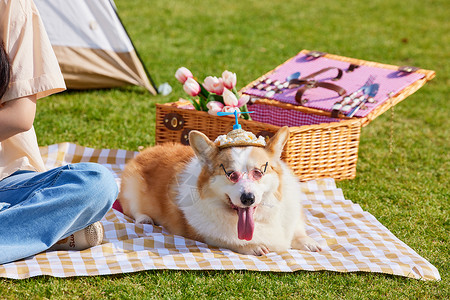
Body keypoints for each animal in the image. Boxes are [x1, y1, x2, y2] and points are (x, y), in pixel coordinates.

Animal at [118, 126, 324, 255]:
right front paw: (253, 246)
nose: (248, 198)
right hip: (131, 187)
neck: (260, 218)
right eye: (231, 174)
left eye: (258, 172)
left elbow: (297, 231)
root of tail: (146, 151)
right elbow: (230, 240)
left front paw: (309, 242)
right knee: (132, 209)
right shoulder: (204, 234)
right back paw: (144, 218)